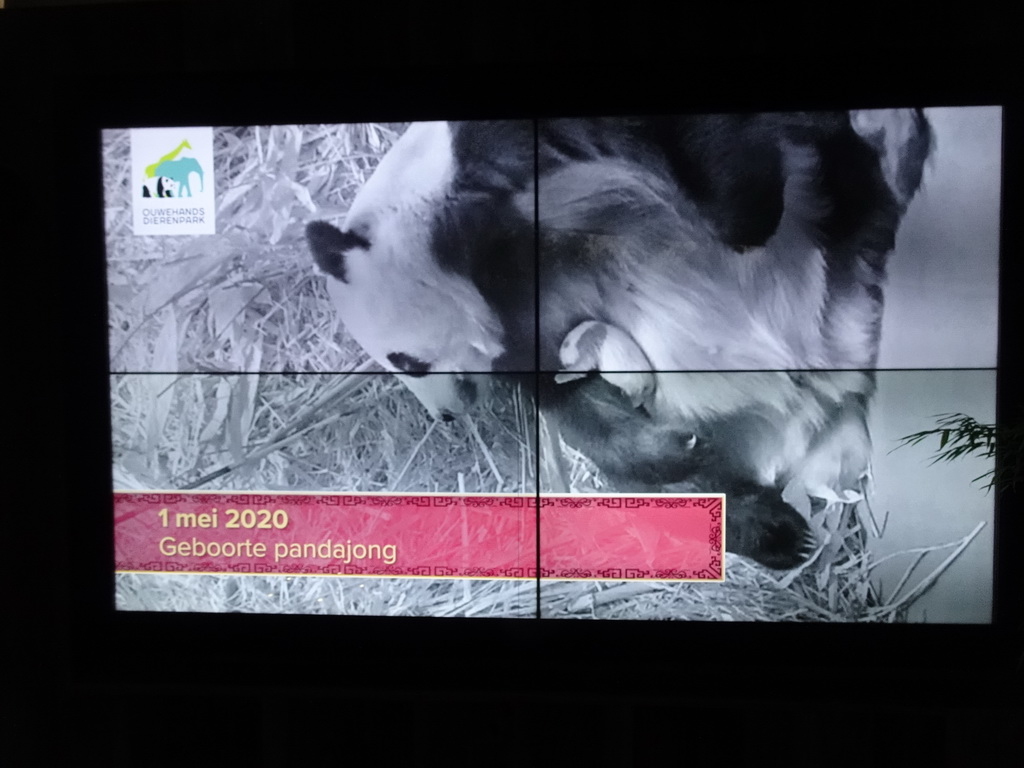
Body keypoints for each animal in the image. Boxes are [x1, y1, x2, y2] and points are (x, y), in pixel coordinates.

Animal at [301, 114, 929, 573]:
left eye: (404, 360)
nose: (447, 416)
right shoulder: (527, 324)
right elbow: (581, 407)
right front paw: (676, 444)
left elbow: (733, 186)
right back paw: (772, 529)